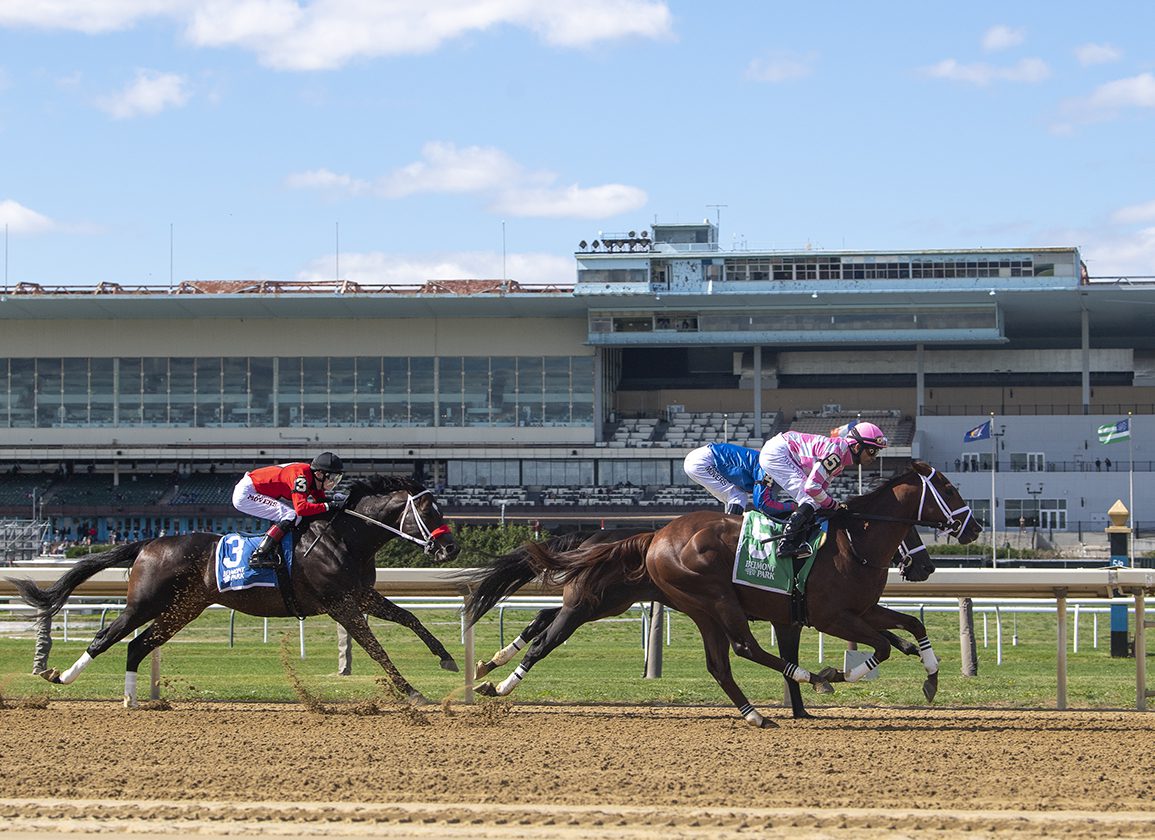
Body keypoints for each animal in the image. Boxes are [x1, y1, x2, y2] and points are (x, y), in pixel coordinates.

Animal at [10, 476, 459, 707]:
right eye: (429, 511)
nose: (451, 548)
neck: (344, 538)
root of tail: (150, 543)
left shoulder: (361, 596)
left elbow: (410, 618)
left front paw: (447, 658)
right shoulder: (339, 604)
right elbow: (375, 647)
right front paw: (413, 693)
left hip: (182, 609)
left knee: (137, 646)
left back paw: (133, 700)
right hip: (145, 602)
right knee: (106, 637)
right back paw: (60, 676)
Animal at [468, 522, 937, 711]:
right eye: (909, 532)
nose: (924, 566)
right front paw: (821, 681)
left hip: (600, 603)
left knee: (545, 616)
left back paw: (492, 663)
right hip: (591, 604)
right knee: (547, 638)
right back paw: (501, 681)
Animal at [519, 462, 979, 725]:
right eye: (949, 491)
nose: (973, 528)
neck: (855, 541)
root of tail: (655, 536)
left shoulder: (859, 609)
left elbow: (911, 624)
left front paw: (931, 675)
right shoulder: (831, 616)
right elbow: (880, 647)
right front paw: (836, 675)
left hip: (686, 607)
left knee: (720, 664)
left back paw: (756, 713)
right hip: (712, 597)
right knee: (743, 648)